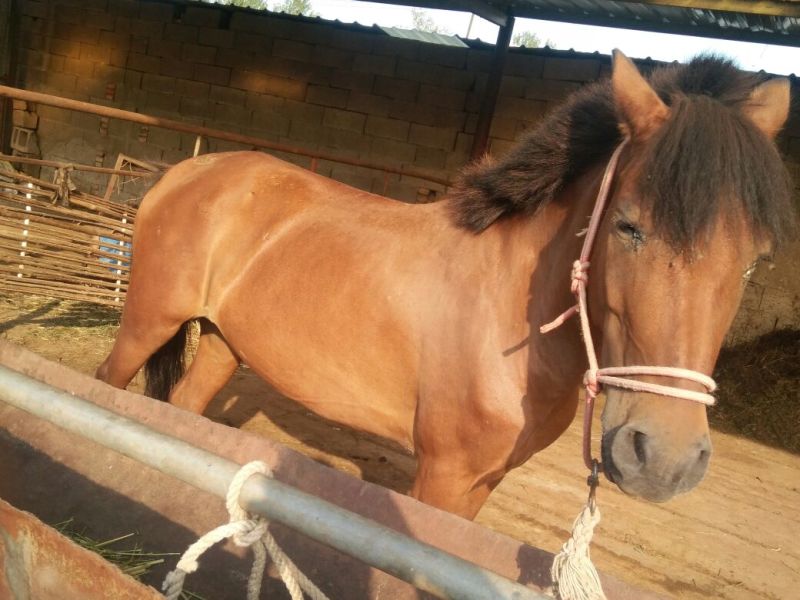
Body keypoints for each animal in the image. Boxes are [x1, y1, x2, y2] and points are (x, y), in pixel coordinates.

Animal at [96, 50, 795, 519]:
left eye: (754, 259)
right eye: (629, 227)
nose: (665, 460)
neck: (508, 315)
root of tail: (187, 170)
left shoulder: (483, 482)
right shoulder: (442, 476)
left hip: (222, 342)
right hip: (147, 324)